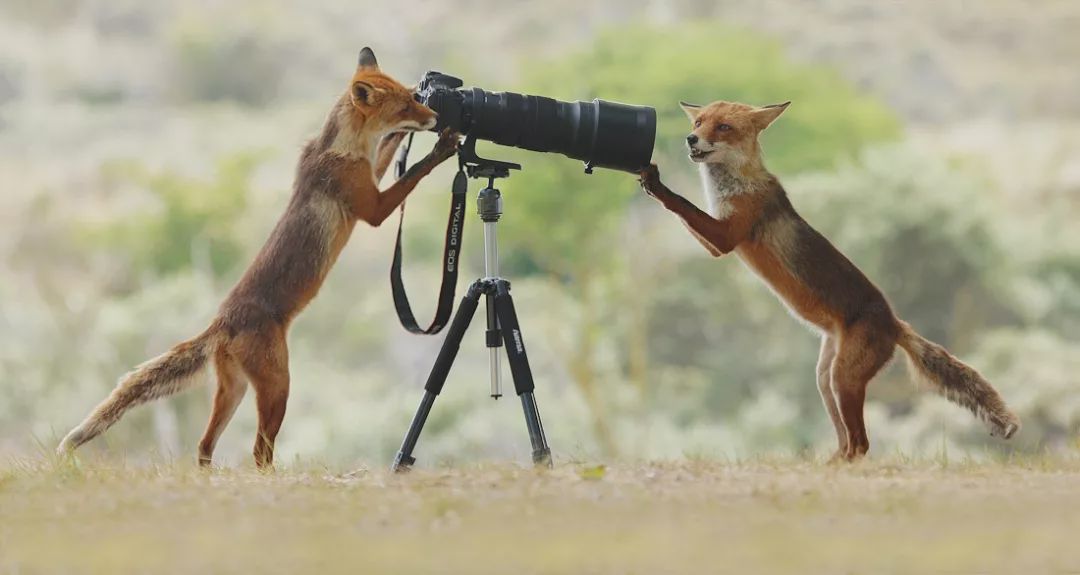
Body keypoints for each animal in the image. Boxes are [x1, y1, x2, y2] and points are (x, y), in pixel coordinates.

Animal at [58, 45, 460, 466]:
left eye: (412, 98)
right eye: (405, 106)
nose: (434, 117)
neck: (343, 147)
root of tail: (221, 321)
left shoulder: (370, 177)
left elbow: (386, 153)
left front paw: (407, 138)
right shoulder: (373, 209)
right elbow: (412, 175)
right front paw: (441, 149)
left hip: (233, 390)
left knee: (204, 445)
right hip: (277, 386)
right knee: (259, 452)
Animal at [639, 98, 1019, 462]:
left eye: (723, 127)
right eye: (698, 122)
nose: (690, 138)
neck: (736, 183)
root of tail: (896, 322)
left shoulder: (727, 236)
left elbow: (682, 204)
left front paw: (655, 182)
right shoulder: (716, 240)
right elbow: (686, 213)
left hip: (844, 378)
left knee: (862, 444)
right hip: (826, 380)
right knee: (847, 440)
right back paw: (830, 462)